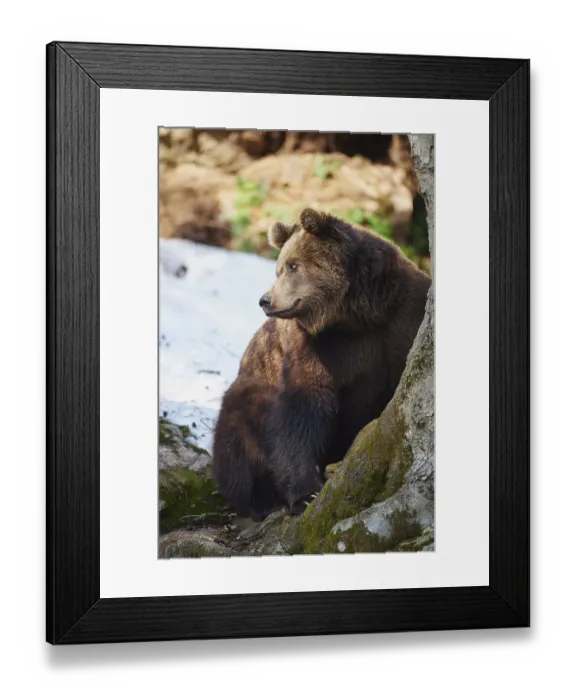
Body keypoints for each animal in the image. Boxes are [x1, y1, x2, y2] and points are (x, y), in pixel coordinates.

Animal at [211, 207, 431, 520]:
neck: (356, 315)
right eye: (279, 268)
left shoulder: (400, 320)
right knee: (239, 444)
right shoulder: (315, 348)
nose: (266, 300)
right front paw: (305, 495)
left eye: (292, 266)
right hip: (249, 391)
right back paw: (261, 498)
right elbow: (303, 410)